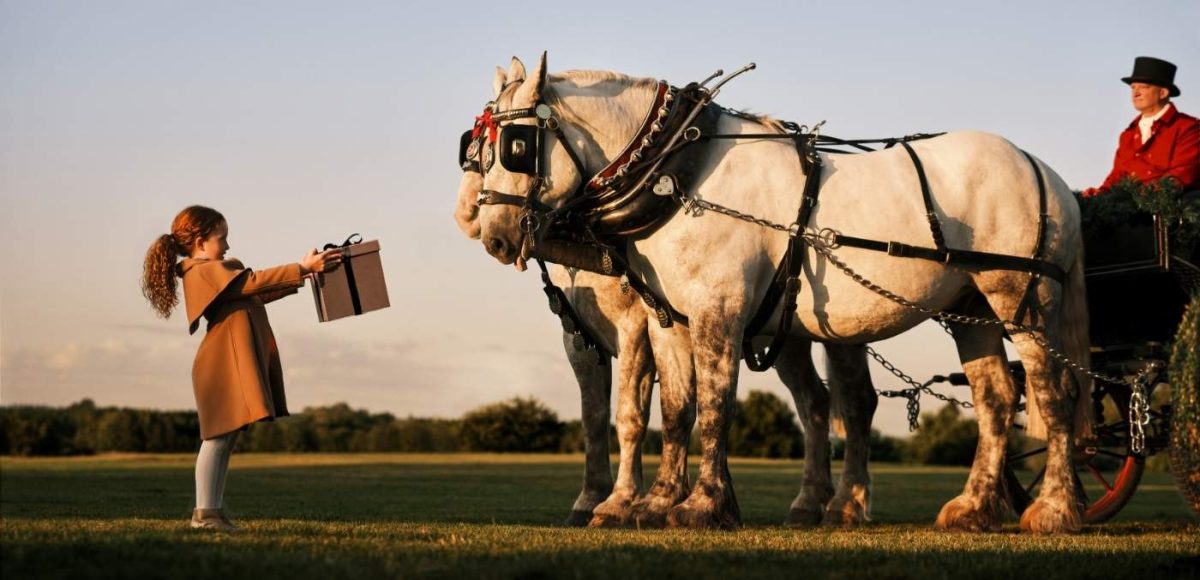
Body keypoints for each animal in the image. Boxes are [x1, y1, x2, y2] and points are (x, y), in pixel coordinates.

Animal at [456, 169, 880, 527]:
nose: (470, 216)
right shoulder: (579, 339)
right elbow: (595, 418)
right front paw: (592, 501)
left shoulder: (637, 328)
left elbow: (633, 415)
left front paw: (624, 503)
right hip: (789, 342)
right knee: (815, 402)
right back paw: (810, 504)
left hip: (841, 334)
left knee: (856, 399)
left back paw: (844, 505)